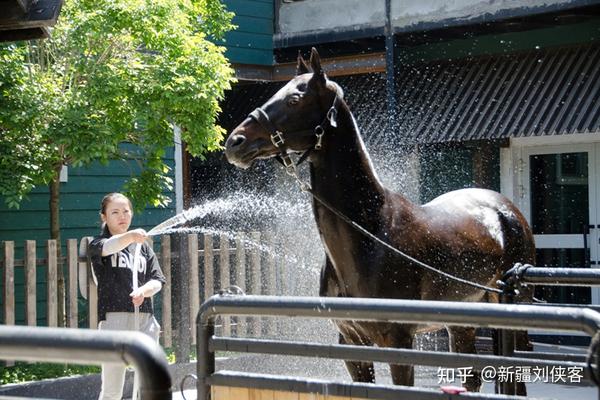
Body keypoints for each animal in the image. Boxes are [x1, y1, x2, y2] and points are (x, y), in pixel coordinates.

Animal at [224, 48, 536, 392]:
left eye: (294, 99)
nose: (235, 142)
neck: (370, 231)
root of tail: (505, 209)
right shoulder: (352, 345)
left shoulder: (398, 343)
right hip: (462, 323)